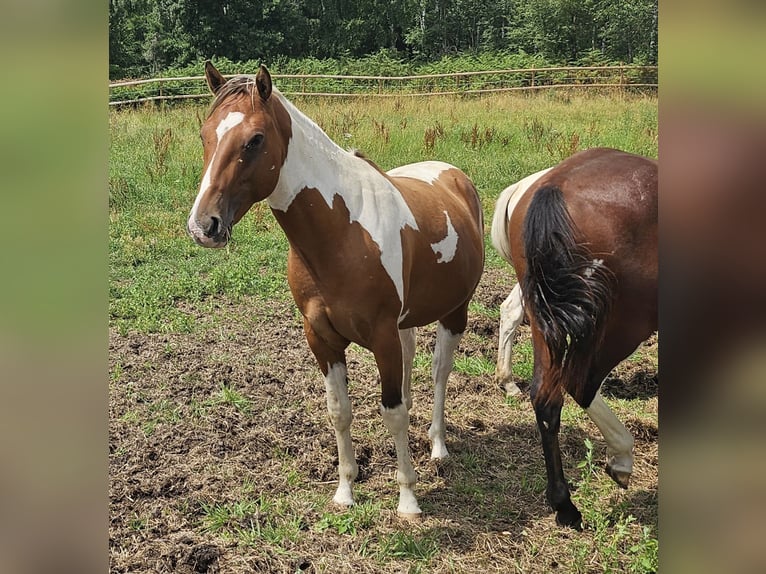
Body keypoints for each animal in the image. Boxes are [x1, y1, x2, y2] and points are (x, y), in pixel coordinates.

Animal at [187, 61, 485, 519]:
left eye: (255, 140)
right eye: (205, 134)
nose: (204, 226)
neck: (343, 232)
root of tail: (453, 175)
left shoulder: (381, 335)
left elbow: (393, 413)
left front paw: (408, 498)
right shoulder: (321, 338)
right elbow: (340, 411)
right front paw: (346, 489)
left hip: (454, 312)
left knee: (439, 373)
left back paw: (437, 447)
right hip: (406, 325)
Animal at [490, 147, 657, 528]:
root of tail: (554, 184)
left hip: (544, 313)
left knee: (546, 393)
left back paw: (564, 504)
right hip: (624, 321)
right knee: (579, 382)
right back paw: (620, 457)